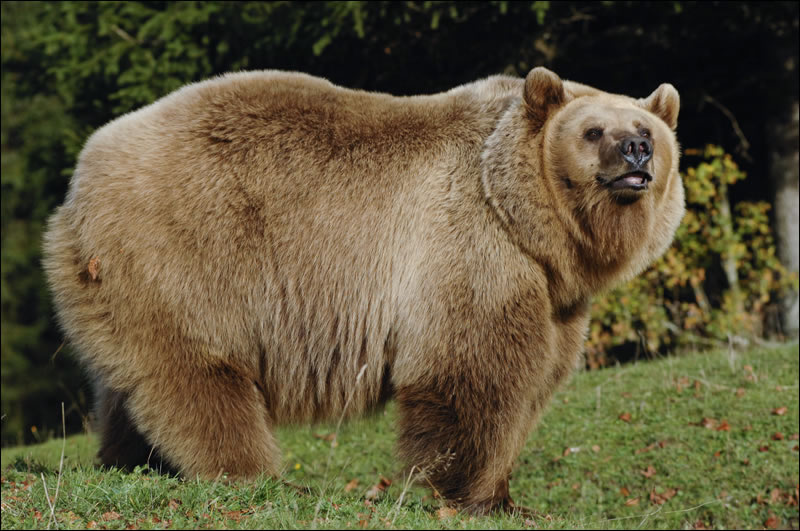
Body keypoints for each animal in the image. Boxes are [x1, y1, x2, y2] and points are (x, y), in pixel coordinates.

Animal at [42, 66, 680, 516]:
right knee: (198, 377)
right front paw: (473, 494)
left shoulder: (556, 299)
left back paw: (130, 462)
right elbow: (472, 376)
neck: (535, 228)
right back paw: (253, 473)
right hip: (187, 254)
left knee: (130, 387)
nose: (637, 151)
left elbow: (536, 382)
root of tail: (78, 179)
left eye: (645, 128)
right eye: (593, 130)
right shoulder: (471, 250)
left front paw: (507, 495)